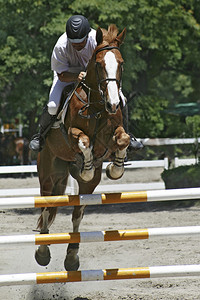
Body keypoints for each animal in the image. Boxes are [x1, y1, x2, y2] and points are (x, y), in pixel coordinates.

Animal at [35, 24, 130, 270]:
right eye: (99, 64)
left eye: (121, 63)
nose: (113, 104)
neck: (97, 103)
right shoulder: (72, 134)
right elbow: (84, 140)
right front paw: (86, 167)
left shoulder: (111, 136)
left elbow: (123, 140)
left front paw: (115, 169)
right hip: (48, 173)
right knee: (46, 208)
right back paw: (42, 252)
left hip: (84, 186)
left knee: (77, 213)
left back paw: (71, 257)